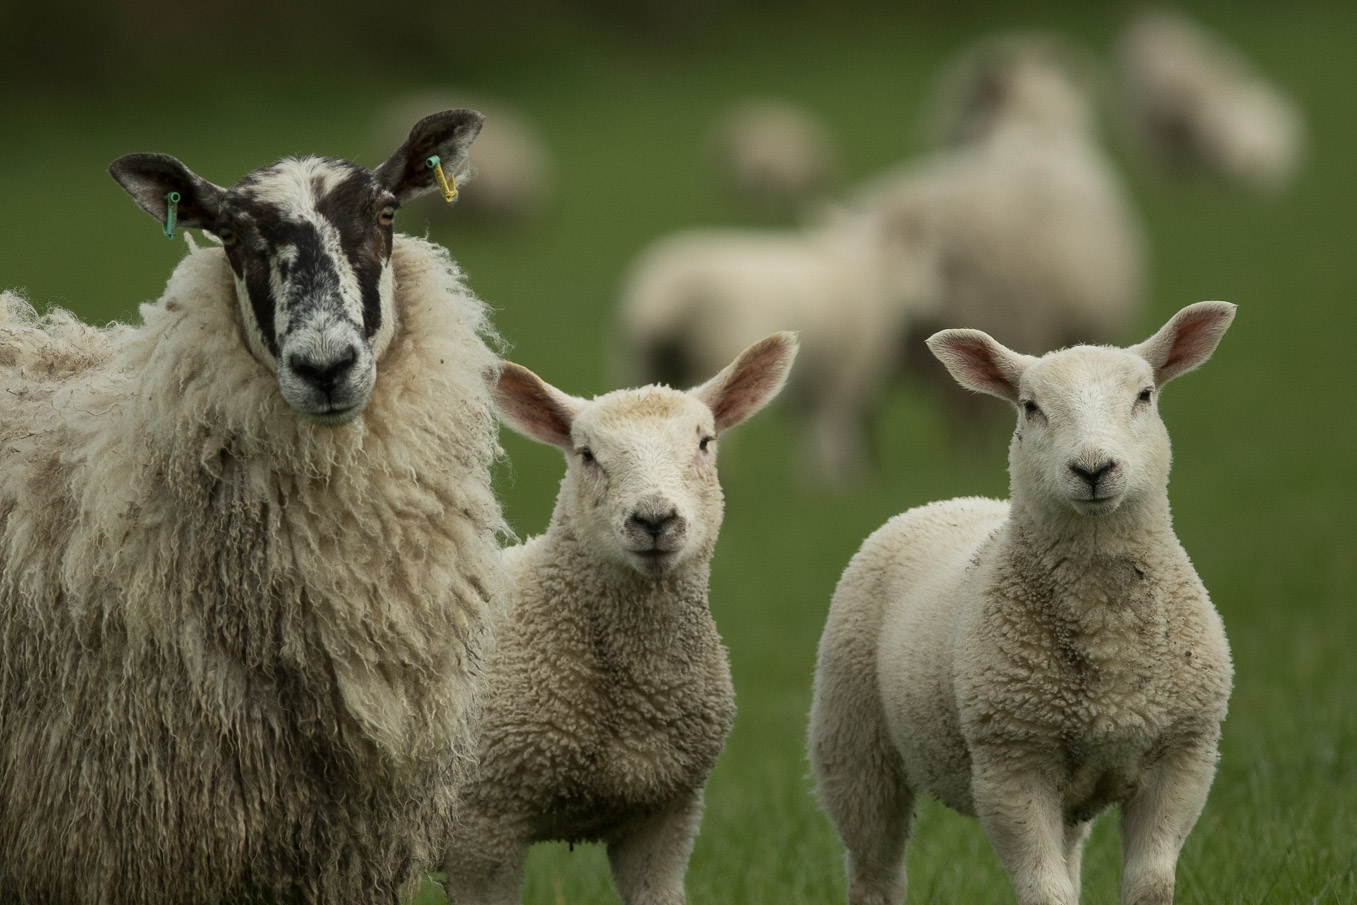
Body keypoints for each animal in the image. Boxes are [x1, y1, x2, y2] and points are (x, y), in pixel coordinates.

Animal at [618, 209, 940, 483]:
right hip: (717, 353)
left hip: (643, 363)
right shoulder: (846, 374)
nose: (929, 302)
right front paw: (839, 480)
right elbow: (835, 427)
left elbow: (809, 427)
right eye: (918, 258)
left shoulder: (814, 380)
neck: (877, 279)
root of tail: (666, 297)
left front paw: (813, 480)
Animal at [809, 301, 1236, 905]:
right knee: (875, 872)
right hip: (854, 744)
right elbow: (1044, 891)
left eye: (1145, 396)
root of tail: (949, 502)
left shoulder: (1183, 758)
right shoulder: (1012, 766)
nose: (1092, 469)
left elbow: (1150, 884)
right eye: (1031, 407)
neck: (1107, 635)